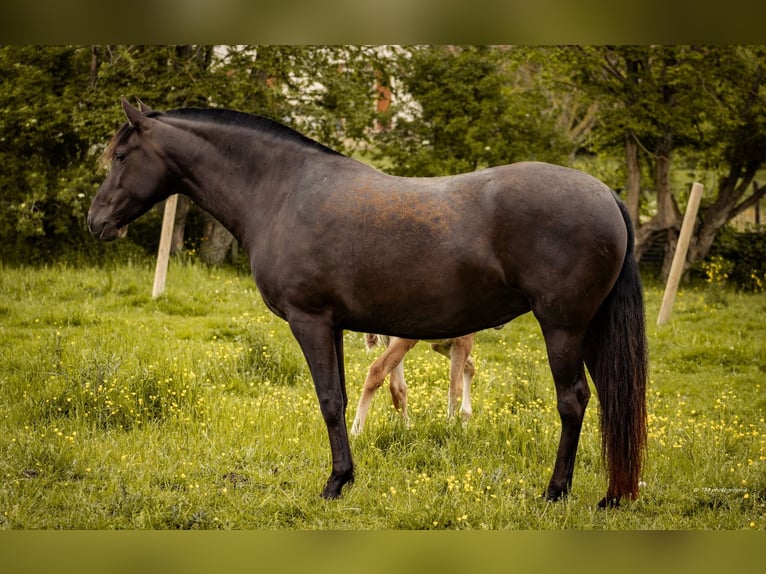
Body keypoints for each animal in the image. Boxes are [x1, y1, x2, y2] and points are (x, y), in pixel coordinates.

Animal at [88, 99, 648, 508]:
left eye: (121, 157)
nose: (96, 221)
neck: (282, 192)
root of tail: (605, 195)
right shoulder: (335, 326)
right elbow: (340, 397)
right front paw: (347, 476)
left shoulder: (310, 321)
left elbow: (330, 401)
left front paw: (335, 482)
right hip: (588, 331)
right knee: (609, 400)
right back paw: (611, 495)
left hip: (563, 328)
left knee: (573, 401)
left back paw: (556, 492)